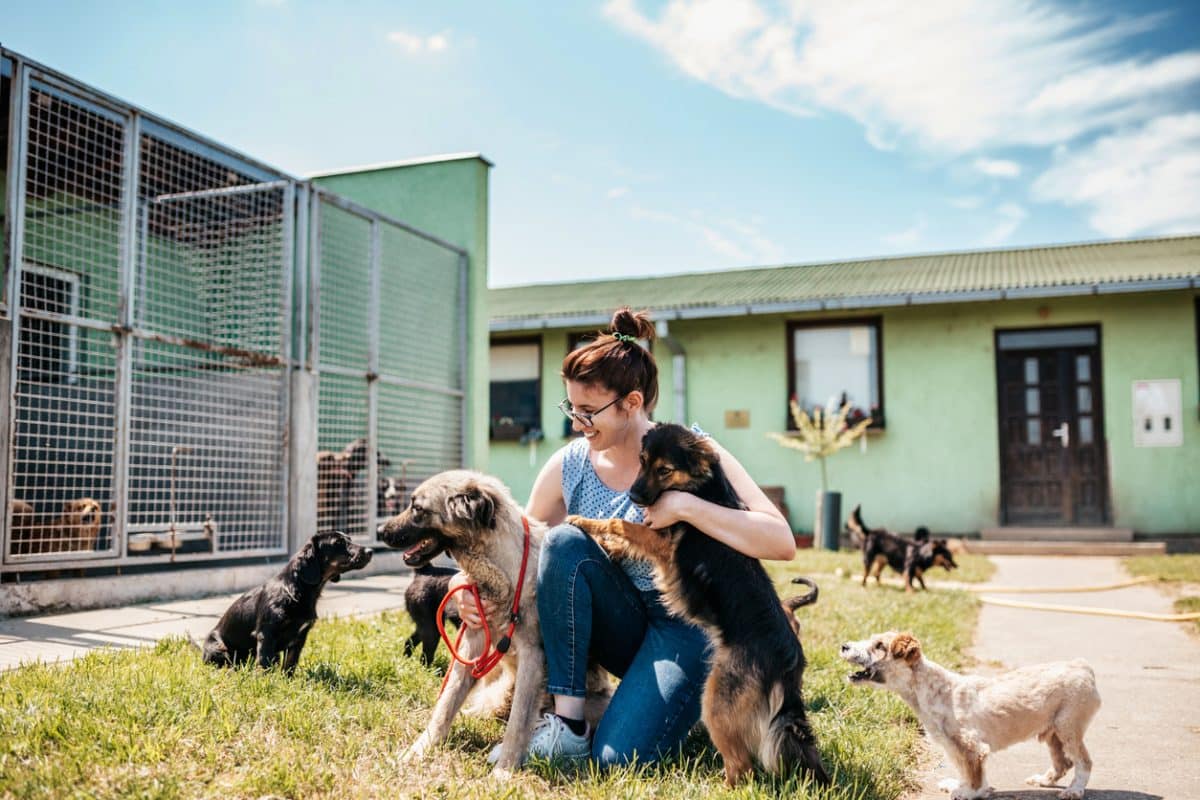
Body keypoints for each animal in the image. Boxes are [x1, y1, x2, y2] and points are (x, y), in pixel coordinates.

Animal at [201, 534, 372, 671]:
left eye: (349, 539)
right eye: (338, 543)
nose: (370, 551)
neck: (296, 591)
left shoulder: (300, 638)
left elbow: (290, 664)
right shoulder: (266, 633)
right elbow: (264, 663)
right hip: (218, 646)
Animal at [566, 424, 830, 786]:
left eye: (664, 470)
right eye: (642, 461)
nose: (633, 496)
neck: (699, 486)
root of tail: (788, 659)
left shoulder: (663, 542)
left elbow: (622, 525)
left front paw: (585, 522)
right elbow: (627, 535)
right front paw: (611, 547)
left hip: (715, 702)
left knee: (742, 767)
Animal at [840, 633, 1099, 800]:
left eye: (879, 645)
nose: (844, 646)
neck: (934, 690)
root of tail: (1082, 667)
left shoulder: (971, 747)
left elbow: (974, 773)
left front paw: (970, 792)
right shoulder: (953, 747)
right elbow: (963, 770)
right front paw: (961, 785)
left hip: (1068, 728)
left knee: (1084, 762)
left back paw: (1075, 790)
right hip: (1053, 733)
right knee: (1064, 763)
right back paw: (1044, 780)